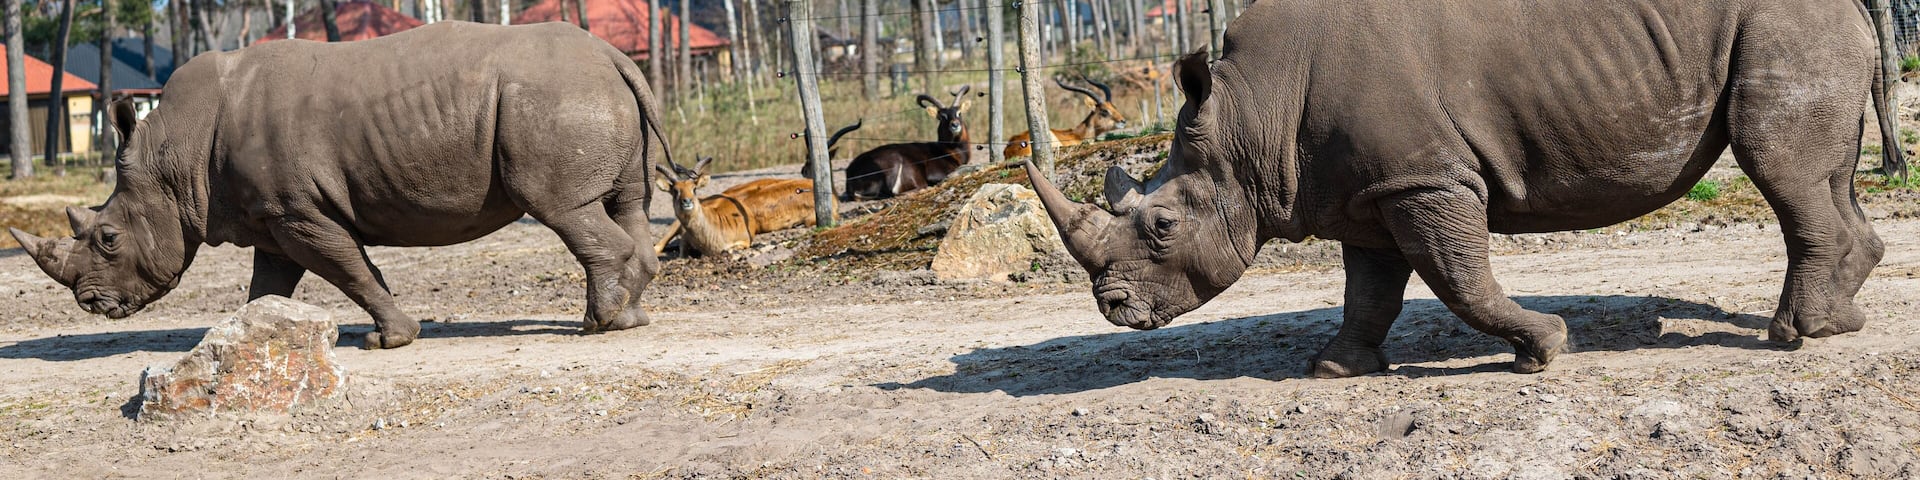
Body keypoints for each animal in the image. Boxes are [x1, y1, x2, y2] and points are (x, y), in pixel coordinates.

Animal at [7, 22, 669, 349]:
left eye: (108, 238)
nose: (91, 304)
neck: (173, 153)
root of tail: (615, 56)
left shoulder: (296, 210)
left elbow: (350, 268)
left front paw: (391, 340)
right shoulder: (267, 216)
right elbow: (267, 287)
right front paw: (245, 339)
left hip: (552, 97)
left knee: (563, 208)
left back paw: (598, 325)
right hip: (579, 93)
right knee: (625, 204)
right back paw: (627, 319)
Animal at [1026, 0, 1898, 377]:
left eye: (1162, 227)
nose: (1113, 308)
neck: (1249, 115)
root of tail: (1859, 8)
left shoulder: (1425, 177)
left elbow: (1458, 277)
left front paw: (1543, 349)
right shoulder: (1365, 189)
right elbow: (1369, 292)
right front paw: (1334, 368)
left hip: (1789, 29)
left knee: (1779, 168)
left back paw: (1792, 336)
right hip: (1801, 32)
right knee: (1828, 176)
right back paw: (1842, 322)